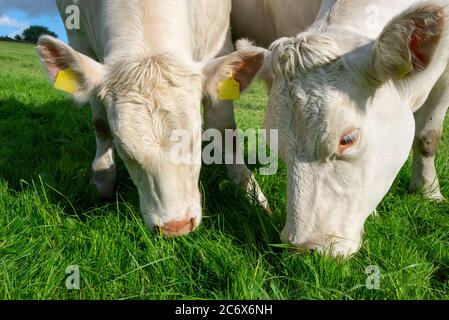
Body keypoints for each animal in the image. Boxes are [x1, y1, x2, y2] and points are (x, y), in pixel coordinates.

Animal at [38, 0, 266, 235]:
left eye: (195, 143)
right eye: (125, 152)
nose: (176, 227)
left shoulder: (218, 39)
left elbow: (223, 128)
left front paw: (250, 191)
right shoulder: (80, 38)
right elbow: (100, 124)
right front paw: (102, 177)